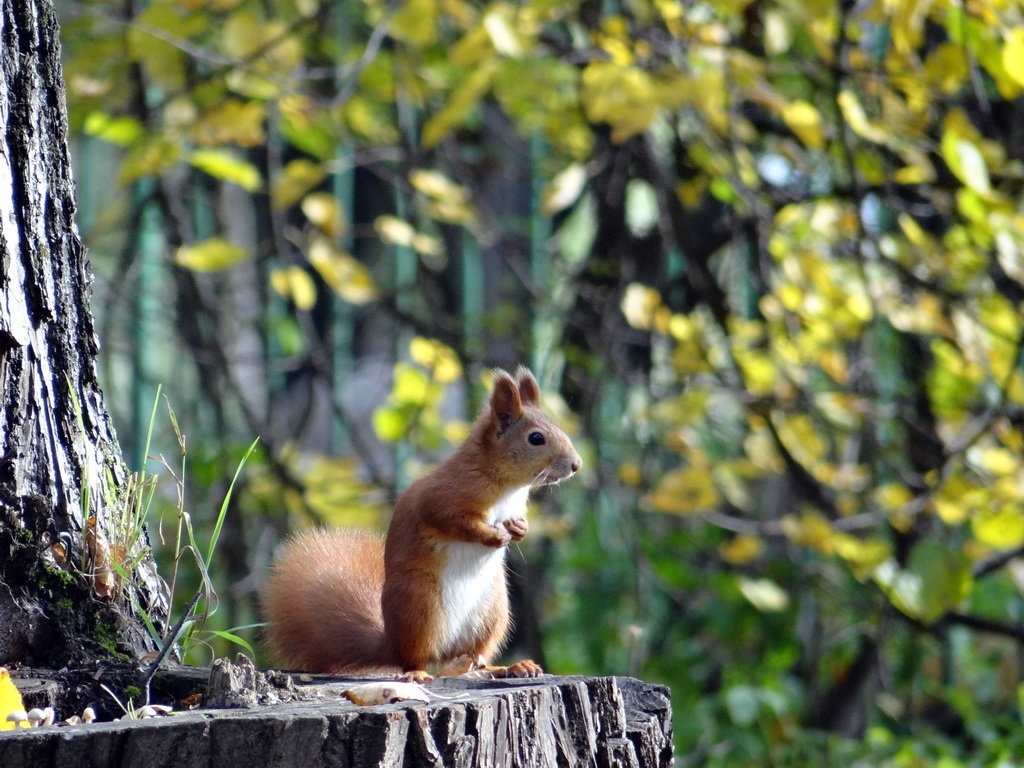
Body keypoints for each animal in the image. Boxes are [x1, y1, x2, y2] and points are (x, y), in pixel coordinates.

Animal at [264, 370, 581, 684]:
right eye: (536, 438)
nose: (576, 464)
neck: (508, 486)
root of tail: (390, 644)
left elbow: (517, 523)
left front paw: (519, 529)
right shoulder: (443, 497)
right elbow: (454, 521)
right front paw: (493, 536)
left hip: (492, 613)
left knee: (474, 658)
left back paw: (507, 667)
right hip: (421, 607)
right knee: (416, 659)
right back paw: (417, 673)